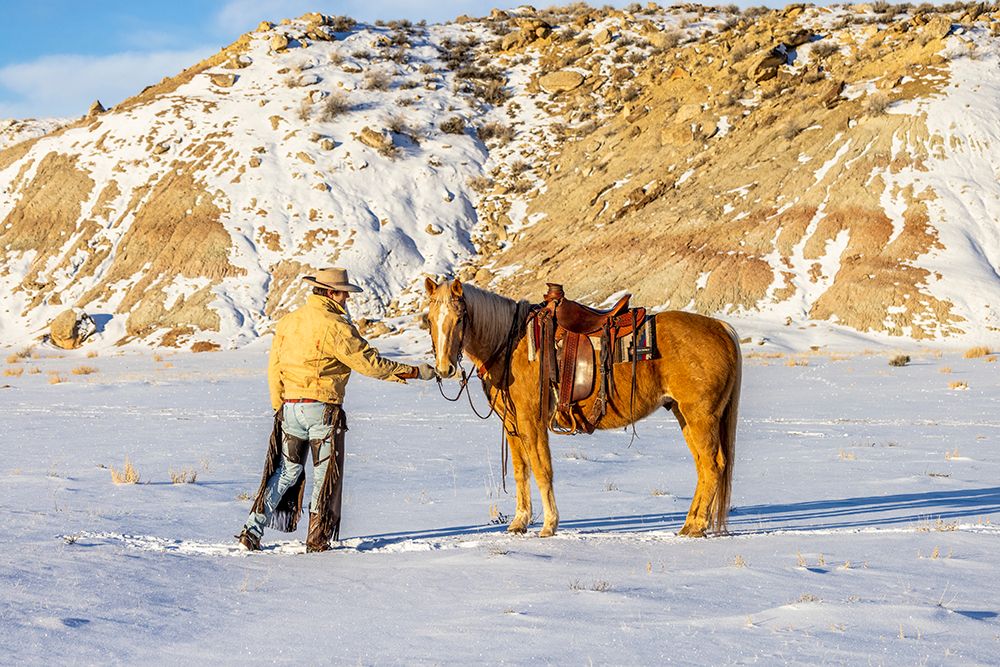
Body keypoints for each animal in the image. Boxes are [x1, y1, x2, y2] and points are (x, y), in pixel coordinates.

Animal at [424, 277, 742, 538]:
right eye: (429, 319)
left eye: (460, 318)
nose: (444, 368)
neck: (511, 343)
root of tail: (721, 327)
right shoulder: (512, 424)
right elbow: (520, 471)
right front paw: (519, 522)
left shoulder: (532, 421)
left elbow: (542, 469)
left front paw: (549, 525)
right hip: (684, 415)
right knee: (704, 466)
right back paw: (690, 524)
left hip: (700, 416)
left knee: (712, 465)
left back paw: (696, 526)